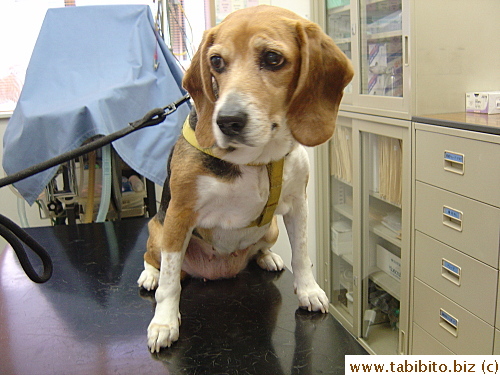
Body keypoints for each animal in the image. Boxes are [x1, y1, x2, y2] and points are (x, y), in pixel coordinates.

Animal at [139, 4, 354, 354]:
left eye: (273, 58)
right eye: (216, 61)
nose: (227, 121)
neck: (257, 157)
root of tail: (218, 271)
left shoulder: (298, 205)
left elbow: (302, 255)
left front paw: (309, 290)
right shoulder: (179, 213)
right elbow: (170, 282)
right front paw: (164, 323)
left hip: (272, 229)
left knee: (262, 248)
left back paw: (267, 257)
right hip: (158, 229)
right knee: (153, 259)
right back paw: (149, 276)